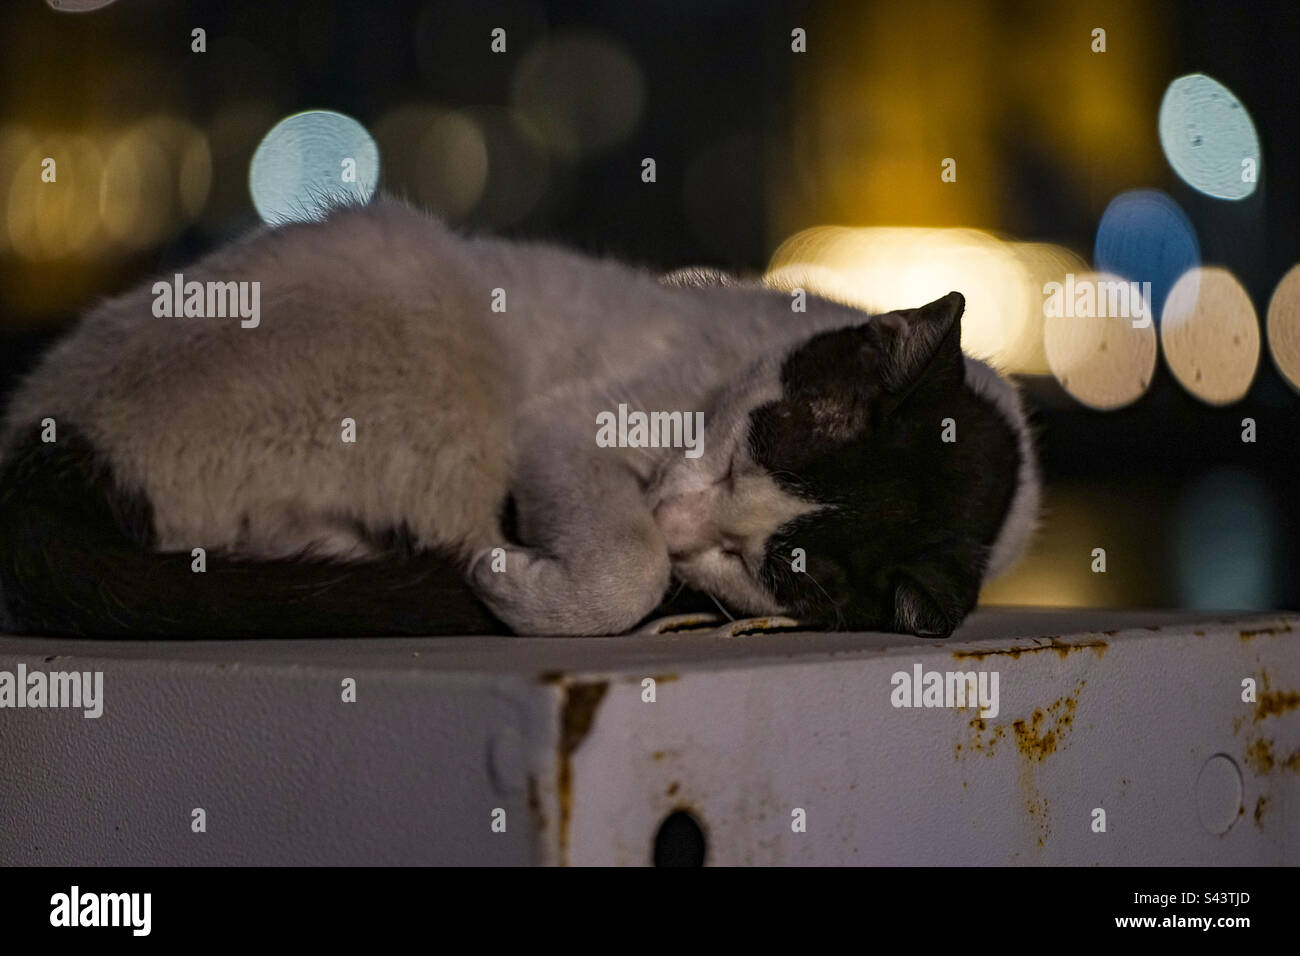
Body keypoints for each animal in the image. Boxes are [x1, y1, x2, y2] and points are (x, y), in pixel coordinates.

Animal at [0, 199, 1034, 639]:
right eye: (757, 445)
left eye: (766, 571)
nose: (673, 520)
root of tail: (41, 447)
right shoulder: (572, 431)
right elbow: (625, 572)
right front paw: (511, 575)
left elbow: (637, 570)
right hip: (410, 280)